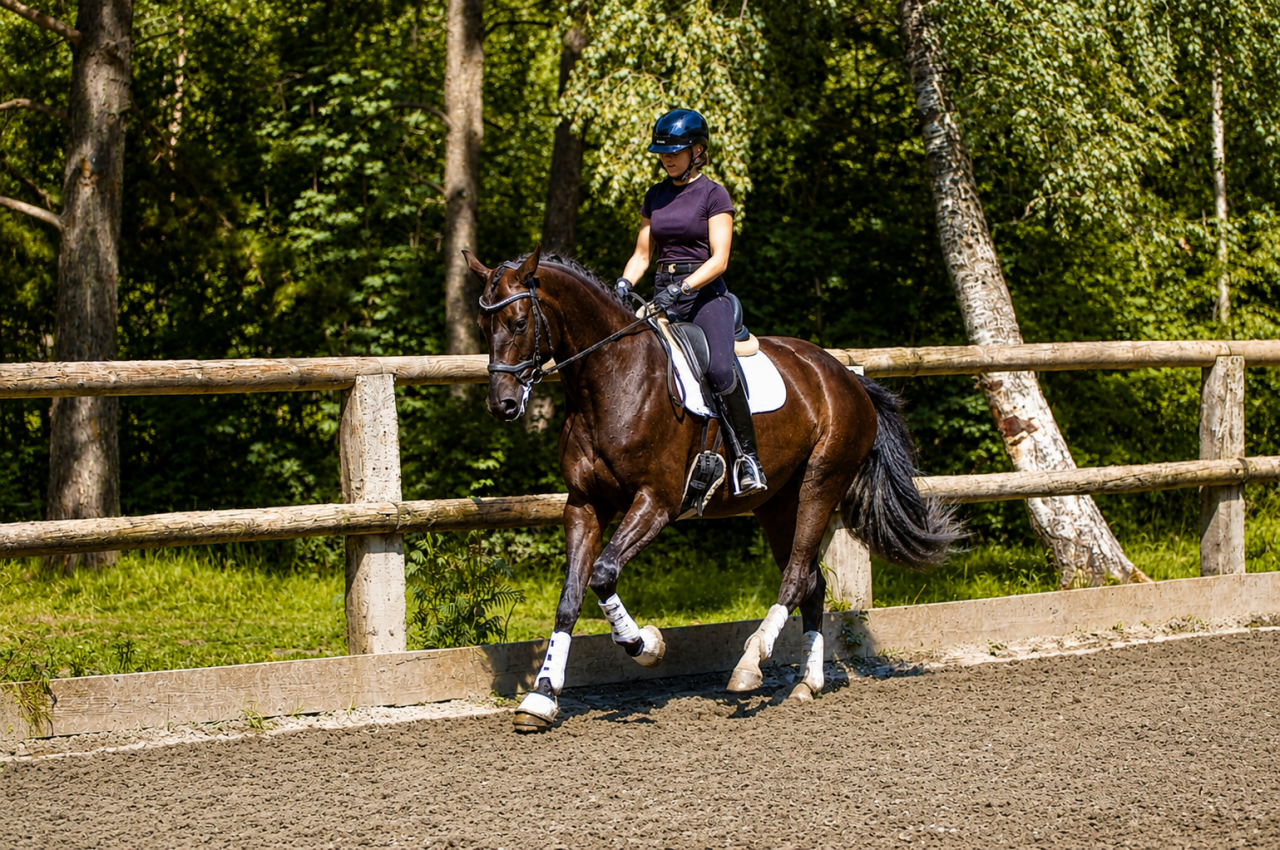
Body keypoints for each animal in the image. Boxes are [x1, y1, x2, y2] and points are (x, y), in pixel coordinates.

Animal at [466, 247, 962, 732]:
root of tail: (844, 374)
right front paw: (541, 696)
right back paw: (808, 682)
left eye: (519, 323)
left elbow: (604, 574)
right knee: (812, 582)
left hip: (820, 485)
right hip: (777, 504)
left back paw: (750, 664)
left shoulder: (657, 502)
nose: (502, 404)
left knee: (795, 576)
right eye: (482, 326)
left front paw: (646, 645)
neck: (610, 379)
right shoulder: (585, 504)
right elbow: (570, 598)